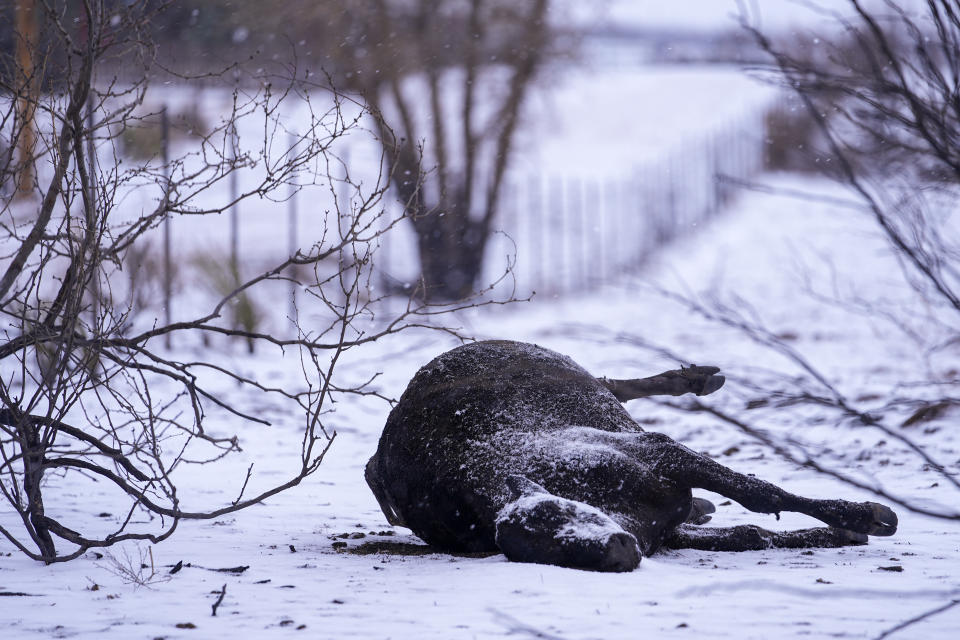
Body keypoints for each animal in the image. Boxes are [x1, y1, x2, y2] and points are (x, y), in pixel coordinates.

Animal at [364, 340, 896, 568]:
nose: (617, 552)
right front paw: (842, 532)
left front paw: (865, 514)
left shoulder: (658, 452)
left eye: (558, 517)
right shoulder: (665, 523)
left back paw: (696, 377)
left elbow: (761, 494)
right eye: (528, 546)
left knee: (617, 384)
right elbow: (751, 534)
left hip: (583, 381)